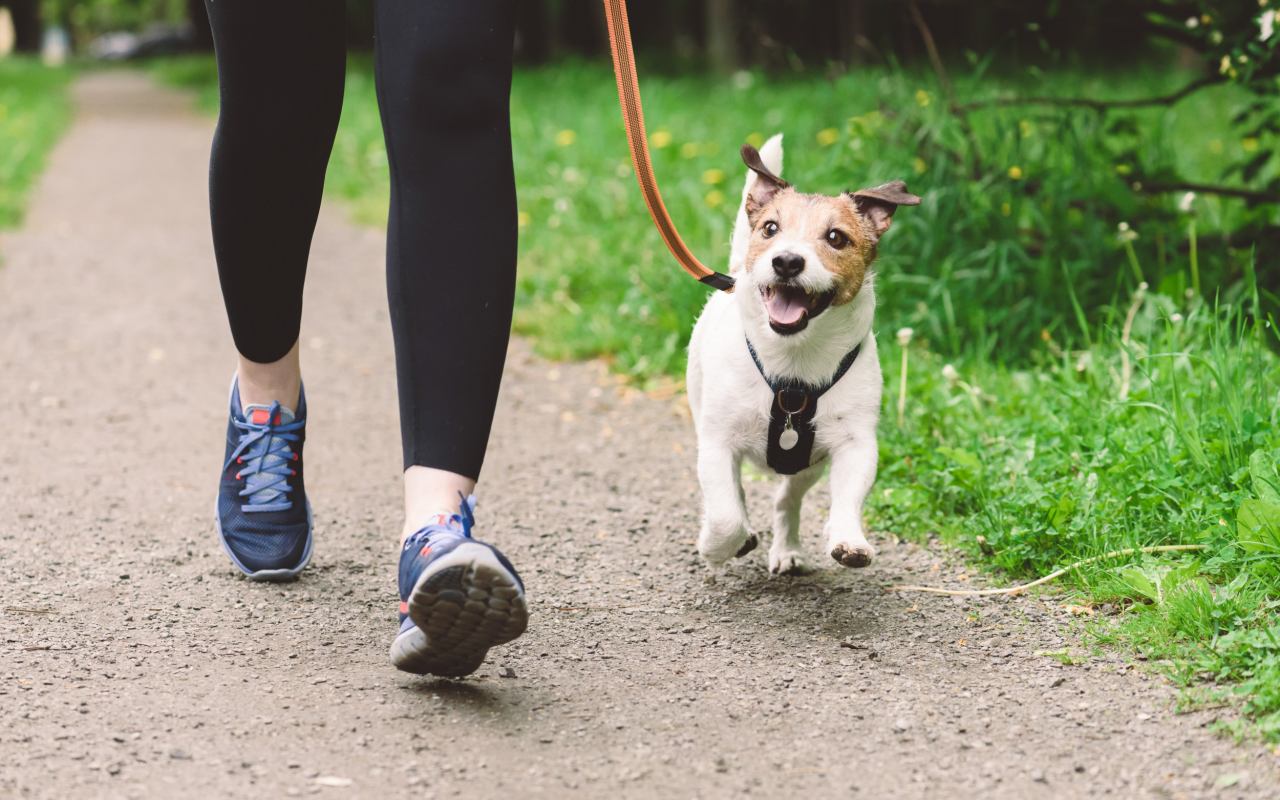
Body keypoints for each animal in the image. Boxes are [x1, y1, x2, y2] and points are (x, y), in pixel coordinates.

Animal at [686, 135, 916, 573]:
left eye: (836, 238)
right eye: (770, 229)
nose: (787, 261)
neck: (793, 364)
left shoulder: (854, 443)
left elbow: (848, 497)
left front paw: (849, 539)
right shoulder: (717, 442)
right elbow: (725, 515)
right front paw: (716, 545)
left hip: (807, 465)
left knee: (786, 500)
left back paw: (787, 548)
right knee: (735, 495)